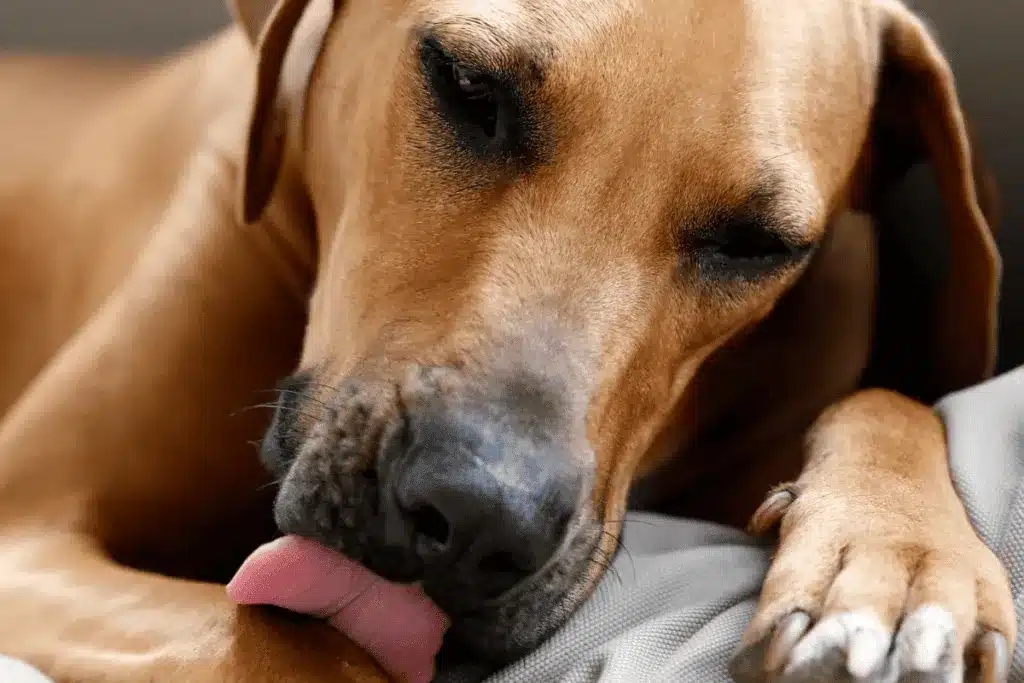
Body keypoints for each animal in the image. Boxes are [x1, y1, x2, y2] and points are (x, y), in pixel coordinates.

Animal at [0, 0, 1011, 679]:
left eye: (757, 243)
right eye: (466, 85)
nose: (479, 519)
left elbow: (891, 398)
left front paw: (897, 563)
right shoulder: (29, 531)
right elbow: (283, 636)